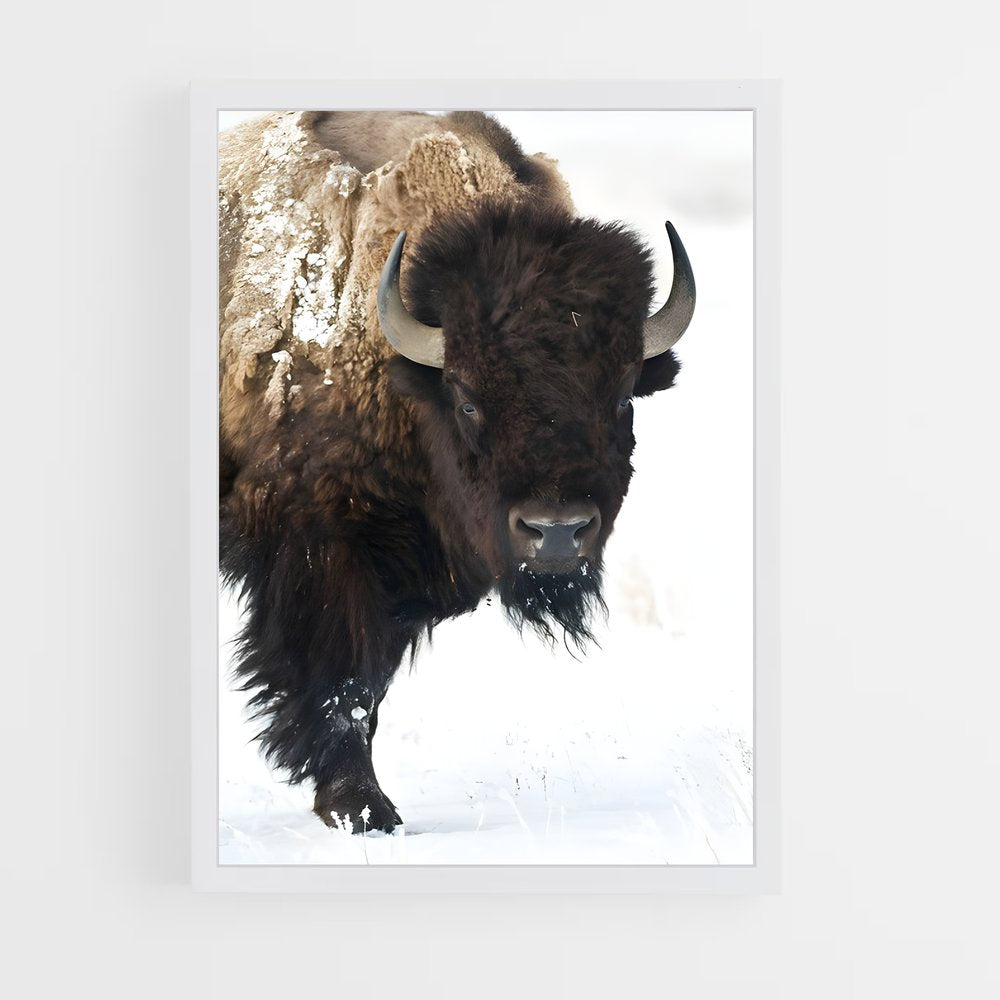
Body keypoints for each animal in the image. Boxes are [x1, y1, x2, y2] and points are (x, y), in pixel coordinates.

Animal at [219, 111, 696, 832]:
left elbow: (369, 687)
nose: (557, 533)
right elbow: (341, 683)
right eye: (468, 398)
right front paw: (362, 809)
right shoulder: (321, 550)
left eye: (621, 397)